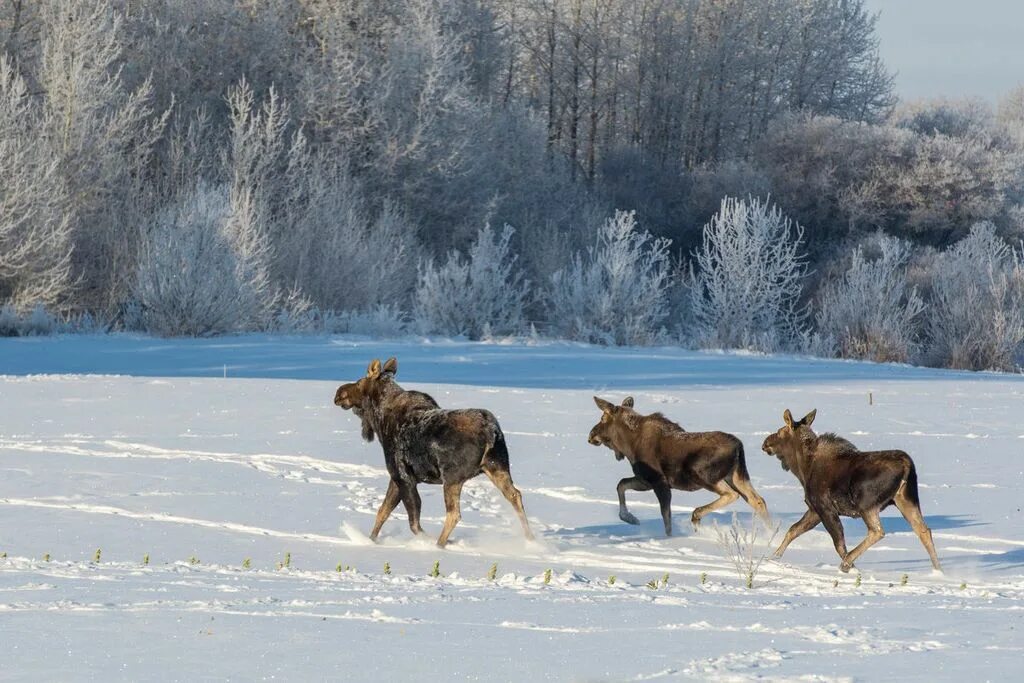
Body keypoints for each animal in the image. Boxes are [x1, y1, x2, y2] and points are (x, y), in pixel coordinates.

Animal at [333, 360, 536, 548]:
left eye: (360, 382)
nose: (338, 393)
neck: (379, 421)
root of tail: (491, 432)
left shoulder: (403, 476)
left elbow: (413, 522)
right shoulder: (398, 478)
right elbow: (383, 512)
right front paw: (370, 540)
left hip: (452, 477)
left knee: (454, 513)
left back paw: (439, 544)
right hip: (497, 467)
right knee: (515, 496)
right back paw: (531, 540)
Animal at [585, 397, 770, 536]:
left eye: (602, 418)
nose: (590, 435)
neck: (628, 446)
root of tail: (738, 447)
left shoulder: (658, 481)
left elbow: (666, 518)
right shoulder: (645, 480)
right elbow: (621, 484)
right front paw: (630, 518)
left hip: (702, 474)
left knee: (732, 495)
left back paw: (696, 516)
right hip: (737, 476)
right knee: (758, 500)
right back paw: (770, 535)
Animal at [761, 409, 942, 573]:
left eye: (780, 431)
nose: (765, 443)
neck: (802, 469)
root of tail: (907, 465)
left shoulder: (825, 508)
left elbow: (839, 544)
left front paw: (852, 568)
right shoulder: (814, 510)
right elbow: (793, 530)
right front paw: (772, 557)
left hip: (866, 503)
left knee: (877, 531)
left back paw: (847, 563)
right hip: (906, 499)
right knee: (924, 530)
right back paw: (938, 571)